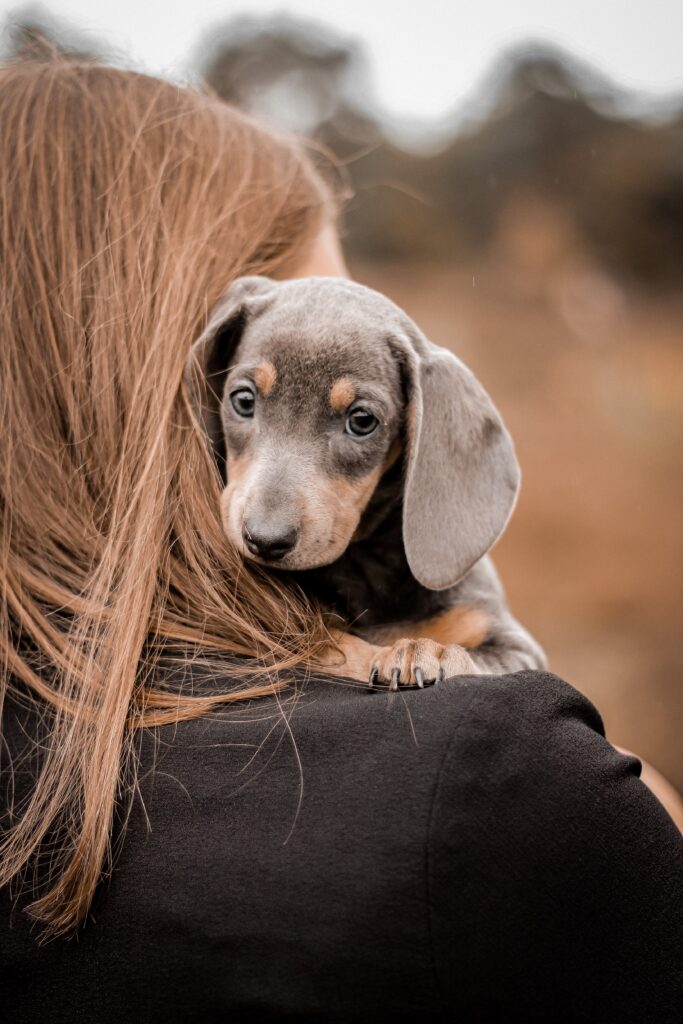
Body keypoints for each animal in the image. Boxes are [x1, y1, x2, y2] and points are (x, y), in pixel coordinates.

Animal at [184, 276, 548, 688]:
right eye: (243, 400)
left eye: (361, 420)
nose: (264, 539)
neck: (368, 566)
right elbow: (337, 649)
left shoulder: (514, 645)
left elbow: (471, 658)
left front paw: (431, 653)